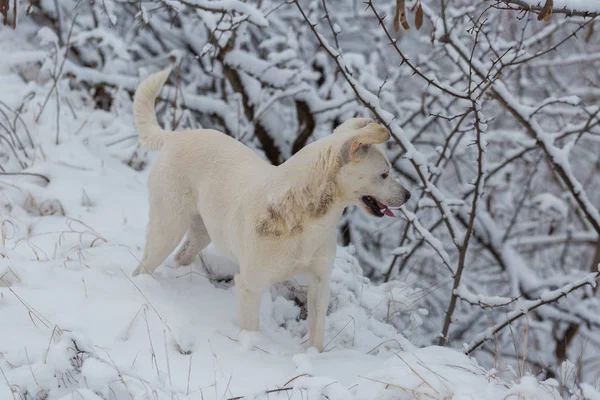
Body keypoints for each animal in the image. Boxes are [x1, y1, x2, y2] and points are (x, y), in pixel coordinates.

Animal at [133, 67, 410, 348]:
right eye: (385, 174)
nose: (408, 195)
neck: (307, 216)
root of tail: (174, 136)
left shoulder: (319, 283)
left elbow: (317, 335)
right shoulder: (250, 286)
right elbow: (251, 330)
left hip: (202, 233)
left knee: (180, 256)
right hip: (168, 228)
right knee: (143, 266)